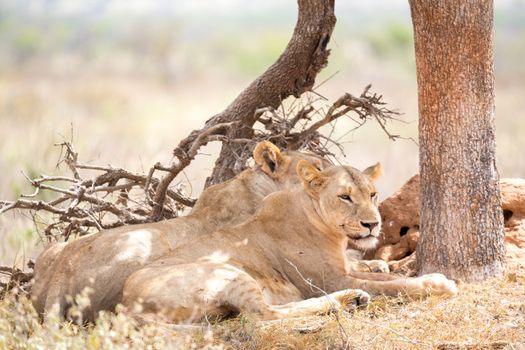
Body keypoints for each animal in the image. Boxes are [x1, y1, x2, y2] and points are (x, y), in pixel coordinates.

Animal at [122, 159, 454, 322]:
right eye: (345, 197)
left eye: (372, 194)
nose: (372, 224)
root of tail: (126, 303)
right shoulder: (327, 279)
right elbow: (394, 285)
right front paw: (437, 282)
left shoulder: (339, 269)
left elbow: (380, 274)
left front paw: (379, 266)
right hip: (226, 272)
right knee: (263, 314)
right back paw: (347, 300)